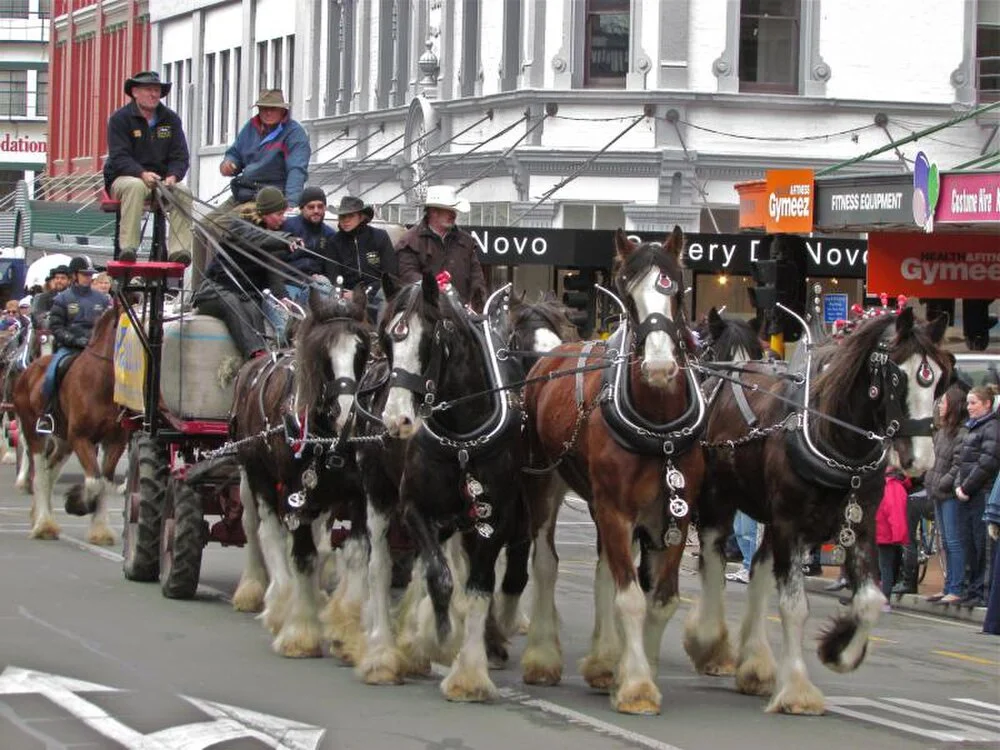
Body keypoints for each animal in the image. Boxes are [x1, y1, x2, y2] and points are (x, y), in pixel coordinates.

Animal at [12, 308, 127, 548]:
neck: (103, 380)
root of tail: (29, 371)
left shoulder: (115, 441)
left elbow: (104, 482)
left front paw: (100, 531)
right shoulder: (81, 438)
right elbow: (94, 482)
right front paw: (77, 503)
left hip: (64, 441)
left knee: (51, 472)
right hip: (34, 432)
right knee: (40, 475)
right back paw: (43, 525)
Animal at [520, 228, 708, 716]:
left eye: (676, 291)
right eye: (628, 295)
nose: (659, 366)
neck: (659, 428)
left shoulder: (676, 516)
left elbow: (660, 601)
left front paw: (635, 670)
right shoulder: (617, 509)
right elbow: (631, 600)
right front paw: (637, 686)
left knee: (604, 567)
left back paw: (604, 660)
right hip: (544, 484)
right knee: (545, 562)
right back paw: (542, 657)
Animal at [684, 306, 948, 716]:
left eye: (937, 381)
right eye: (895, 376)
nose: (920, 460)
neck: (834, 435)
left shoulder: (860, 525)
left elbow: (870, 599)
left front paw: (840, 651)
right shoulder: (790, 523)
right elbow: (794, 606)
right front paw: (796, 689)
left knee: (756, 569)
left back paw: (754, 661)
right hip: (719, 501)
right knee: (713, 562)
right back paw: (710, 641)